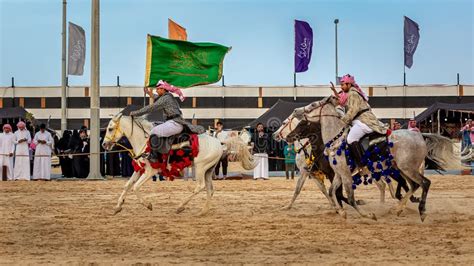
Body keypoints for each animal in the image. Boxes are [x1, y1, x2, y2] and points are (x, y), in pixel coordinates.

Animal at [101, 113, 254, 215]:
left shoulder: (150, 171)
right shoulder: (139, 169)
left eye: (110, 129)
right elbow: (128, 185)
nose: (104, 144)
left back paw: (180, 206)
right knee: (210, 189)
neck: (144, 141)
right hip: (208, 170)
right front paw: (118, 206)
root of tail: (218, 141)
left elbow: (136, 187)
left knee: (200, 187)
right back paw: (203, 211)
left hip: (200, 168)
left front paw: (148, 205)